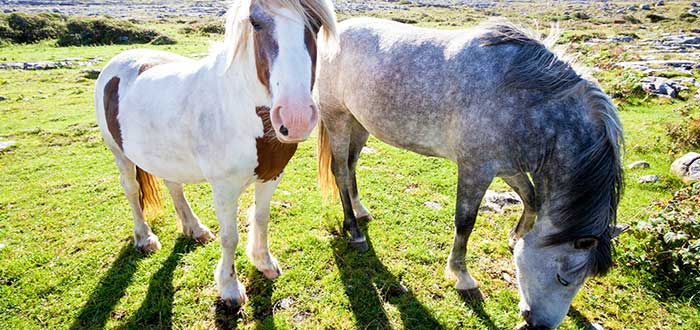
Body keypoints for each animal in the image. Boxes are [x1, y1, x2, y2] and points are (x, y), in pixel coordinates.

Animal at [95, 0, 336, 306]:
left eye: (316, 24)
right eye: (255, 23)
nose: (296, 118)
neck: (242, 110)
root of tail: (120, 60)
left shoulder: (272, 175)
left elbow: (261, 218)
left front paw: (264, 262)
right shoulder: (224, 187)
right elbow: (230, 237)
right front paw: (230, 288)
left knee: (173, 185)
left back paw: (195, 229)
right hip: (119, 153)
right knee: (130, 188)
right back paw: (144, 237)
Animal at [316, 17, 628, 328]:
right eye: (563, 279)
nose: (538, 325)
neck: (526, 103)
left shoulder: (506, 167)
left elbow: (531, 199)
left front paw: (515, 238)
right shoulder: (475, 170)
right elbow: (465, 222)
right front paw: (462, 276)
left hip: (360, 122)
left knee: (351, 166)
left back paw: (360, 211)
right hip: (338, 118)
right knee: (340, 171)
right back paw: (355, 232)